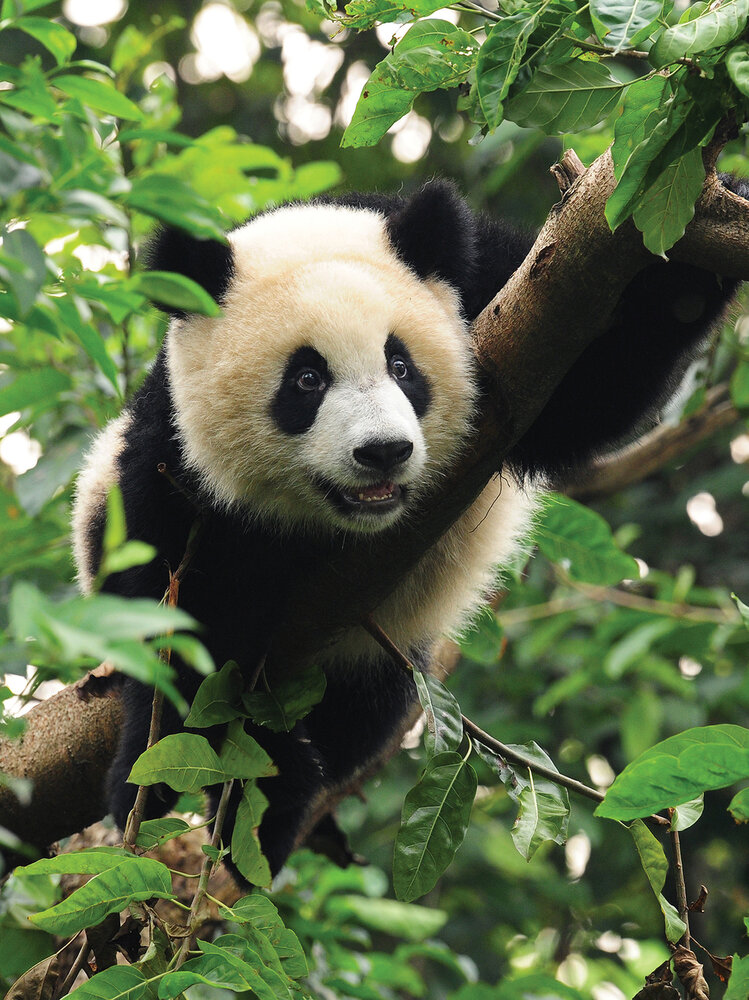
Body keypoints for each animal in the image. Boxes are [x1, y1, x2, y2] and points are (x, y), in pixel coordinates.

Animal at [72, 179, 740, 877]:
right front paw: (191, 781)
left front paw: (703, 237)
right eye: (306, 379)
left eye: (401, 365)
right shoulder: (173, 462)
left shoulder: (500, 294)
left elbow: (591, 386)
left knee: (361, 717)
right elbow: (184, 623)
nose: (383, 451)